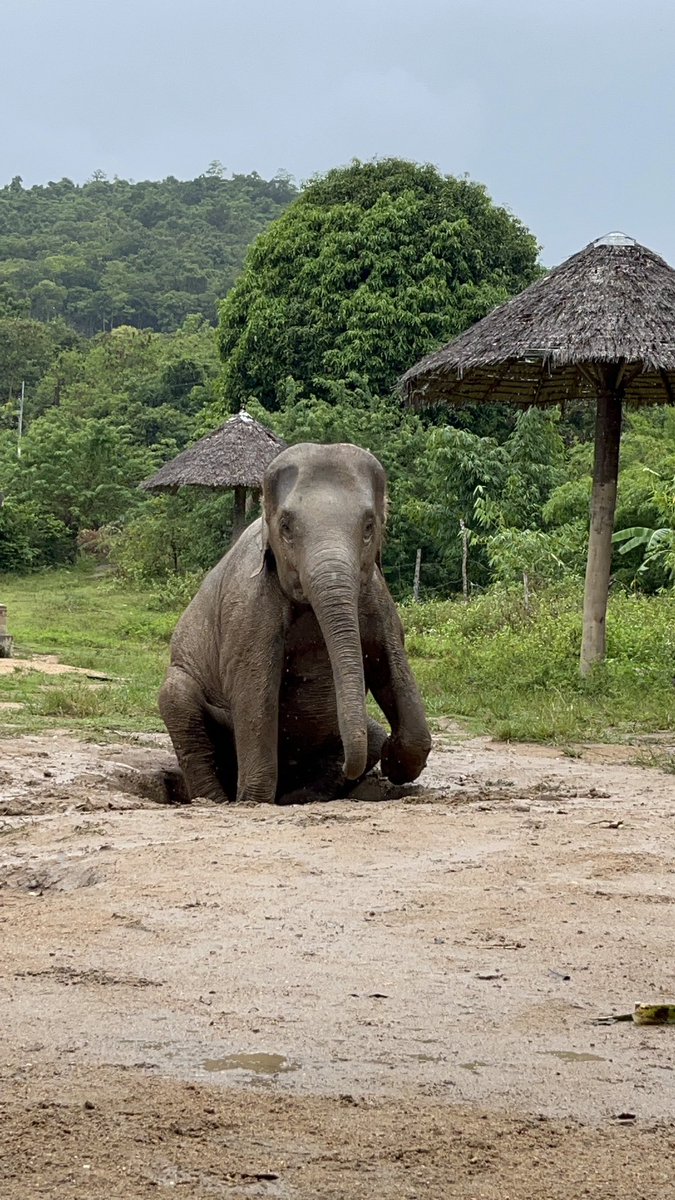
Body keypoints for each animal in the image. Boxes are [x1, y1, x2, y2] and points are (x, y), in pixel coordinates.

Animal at [158, 442, 431, 805]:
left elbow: (390, 663)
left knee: (370, 732)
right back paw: (218, 799)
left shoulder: (377, 595)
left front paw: (393, 760)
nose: (355, 766)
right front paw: (253, 800)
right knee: (176, 700)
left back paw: (302, 795)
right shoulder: (249, 608)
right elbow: (253, 689)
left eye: (369, 527)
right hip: (181, 685)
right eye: (286, 527)